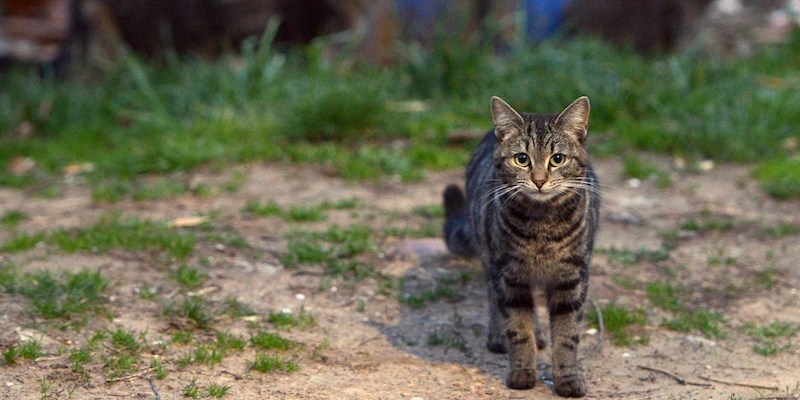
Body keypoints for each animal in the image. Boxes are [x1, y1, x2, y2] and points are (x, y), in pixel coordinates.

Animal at [444, 96, 600, 396]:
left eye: (557, 159)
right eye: (522, 159)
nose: (539, 180)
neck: (542, 227)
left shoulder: (572, 277)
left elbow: (567, 335)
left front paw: (567, 379)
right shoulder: (509, 275)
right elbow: (518, 329)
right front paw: (522, 372)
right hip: (490, 254)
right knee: (493, 295)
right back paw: (498, 335)